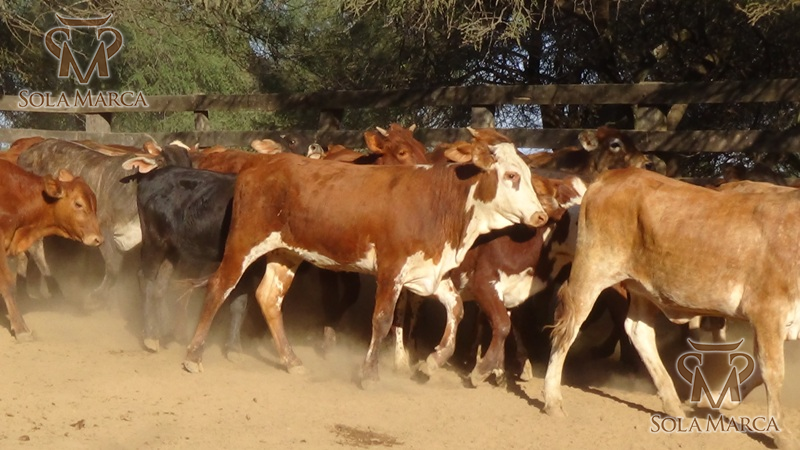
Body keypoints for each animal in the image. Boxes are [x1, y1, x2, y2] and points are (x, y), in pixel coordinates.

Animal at [181, 137, 549, 387]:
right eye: (512, 175)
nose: (541, 215)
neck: (440, 202)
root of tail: (257, 166)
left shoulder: (427, 273)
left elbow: (456, 310)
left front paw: (431, 362)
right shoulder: (390, 270)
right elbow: (383, 320)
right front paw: (369, 373)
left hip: (286, 253)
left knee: (269, 297)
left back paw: (292, 360)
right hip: (243, 243)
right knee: (219, 287)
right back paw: (193, 355)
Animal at [543, 167, 800, 448]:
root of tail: (614, 175)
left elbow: (759, 372)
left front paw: (722, 398)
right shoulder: (768, 312)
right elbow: (772, 371)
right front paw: (782, 434)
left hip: (641, 288)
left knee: (638, 332)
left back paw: (672, 403)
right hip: (592, 271)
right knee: (567, 329)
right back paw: (552, 399)